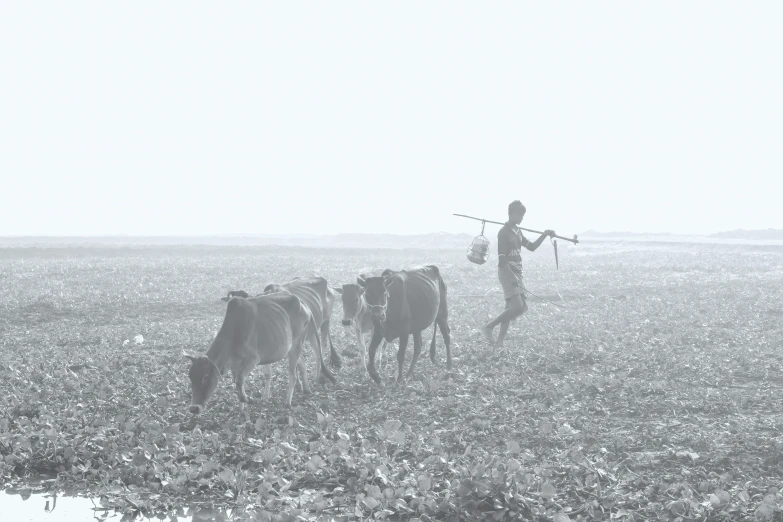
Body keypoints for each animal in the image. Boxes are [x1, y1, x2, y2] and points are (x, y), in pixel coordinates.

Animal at [189, 290, 336, 412]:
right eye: (190, 377)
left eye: (205, 377)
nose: (194, 408)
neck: (234, 331)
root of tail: (303, 304)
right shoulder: (234, 364)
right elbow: (237, 382)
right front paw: (241, 407)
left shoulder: (253, 359)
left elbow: (239, 380)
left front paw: (247, 399)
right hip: (291, 349)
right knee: (302, 362)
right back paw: (306, 389)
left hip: (297, 345)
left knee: (293, 375)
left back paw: (288, 402)